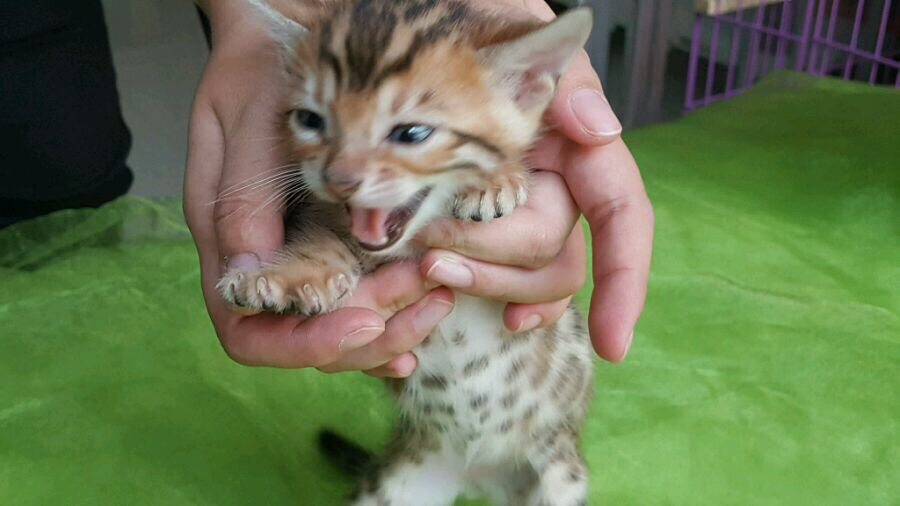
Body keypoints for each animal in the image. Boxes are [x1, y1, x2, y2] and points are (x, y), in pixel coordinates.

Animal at [218, 1, 595, 505]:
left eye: (412, 132)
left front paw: (495, 181)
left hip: (559, 475)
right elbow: (321, 242)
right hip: (396, 485)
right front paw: (281, 278)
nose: (339, 180)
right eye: (310, 121)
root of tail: (476, 472)